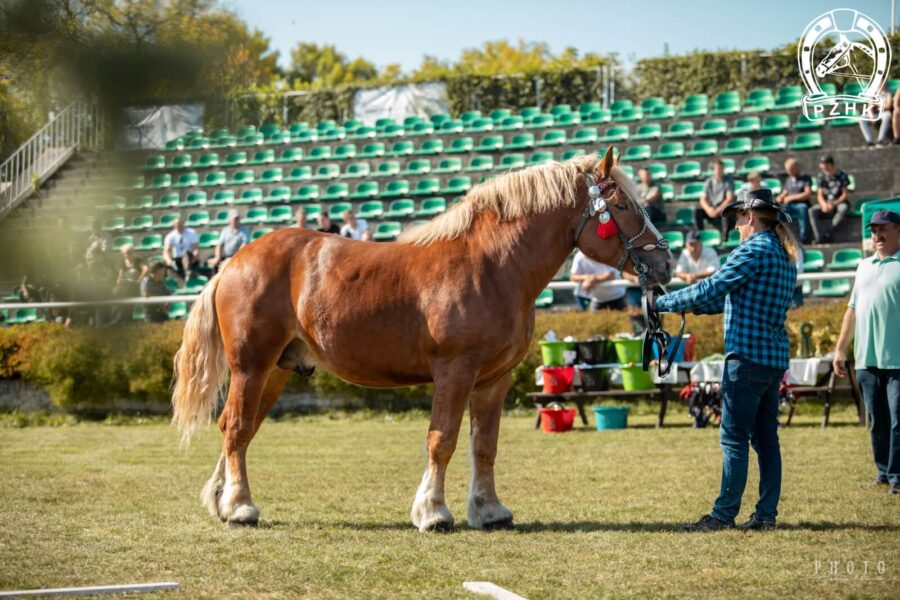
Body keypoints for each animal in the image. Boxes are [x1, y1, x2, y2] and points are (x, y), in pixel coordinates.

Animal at [172, 145, 672, 528]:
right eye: (623, 207)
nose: (664, 263)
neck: (493, 266)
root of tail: (233, 263)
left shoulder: (494, 380)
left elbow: (484, 445)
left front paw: (489, 511)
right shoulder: (455, 370)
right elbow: (442, 438)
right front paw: (433, 512)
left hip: (276, 370)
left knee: (239, 428)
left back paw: (222, 500)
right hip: (251, 366)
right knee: (237, 427)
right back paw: (240, 507)